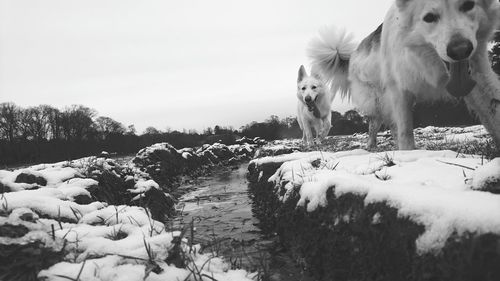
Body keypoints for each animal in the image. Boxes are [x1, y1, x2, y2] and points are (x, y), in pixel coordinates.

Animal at [308, 0, 500, 150]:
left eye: (468, 5)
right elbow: (405, 131)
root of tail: (353, 56)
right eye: (429, 17)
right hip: (377, 100)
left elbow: (492, 111)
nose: (460, 50)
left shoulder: (479, 78)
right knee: (375, 125)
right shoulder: (398, 91)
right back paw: (372, 146)